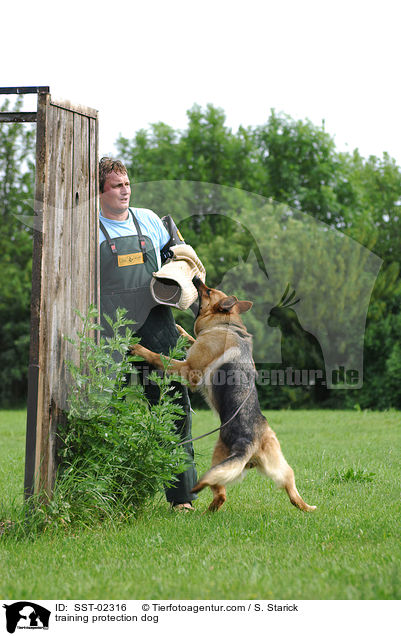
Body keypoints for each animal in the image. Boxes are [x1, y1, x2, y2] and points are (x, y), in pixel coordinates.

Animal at [132, 278, 316, 512]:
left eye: (208, 291)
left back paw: (204, 512)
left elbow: (159, 356)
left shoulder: (188, 368)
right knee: (290, 488)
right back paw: (307, 507)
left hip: (217, 460)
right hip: (280, 467)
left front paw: (139, 349)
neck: (227, 323)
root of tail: (249, 444)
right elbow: (191, 337)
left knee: (219, 494)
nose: (197, 279)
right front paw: (181, 329)